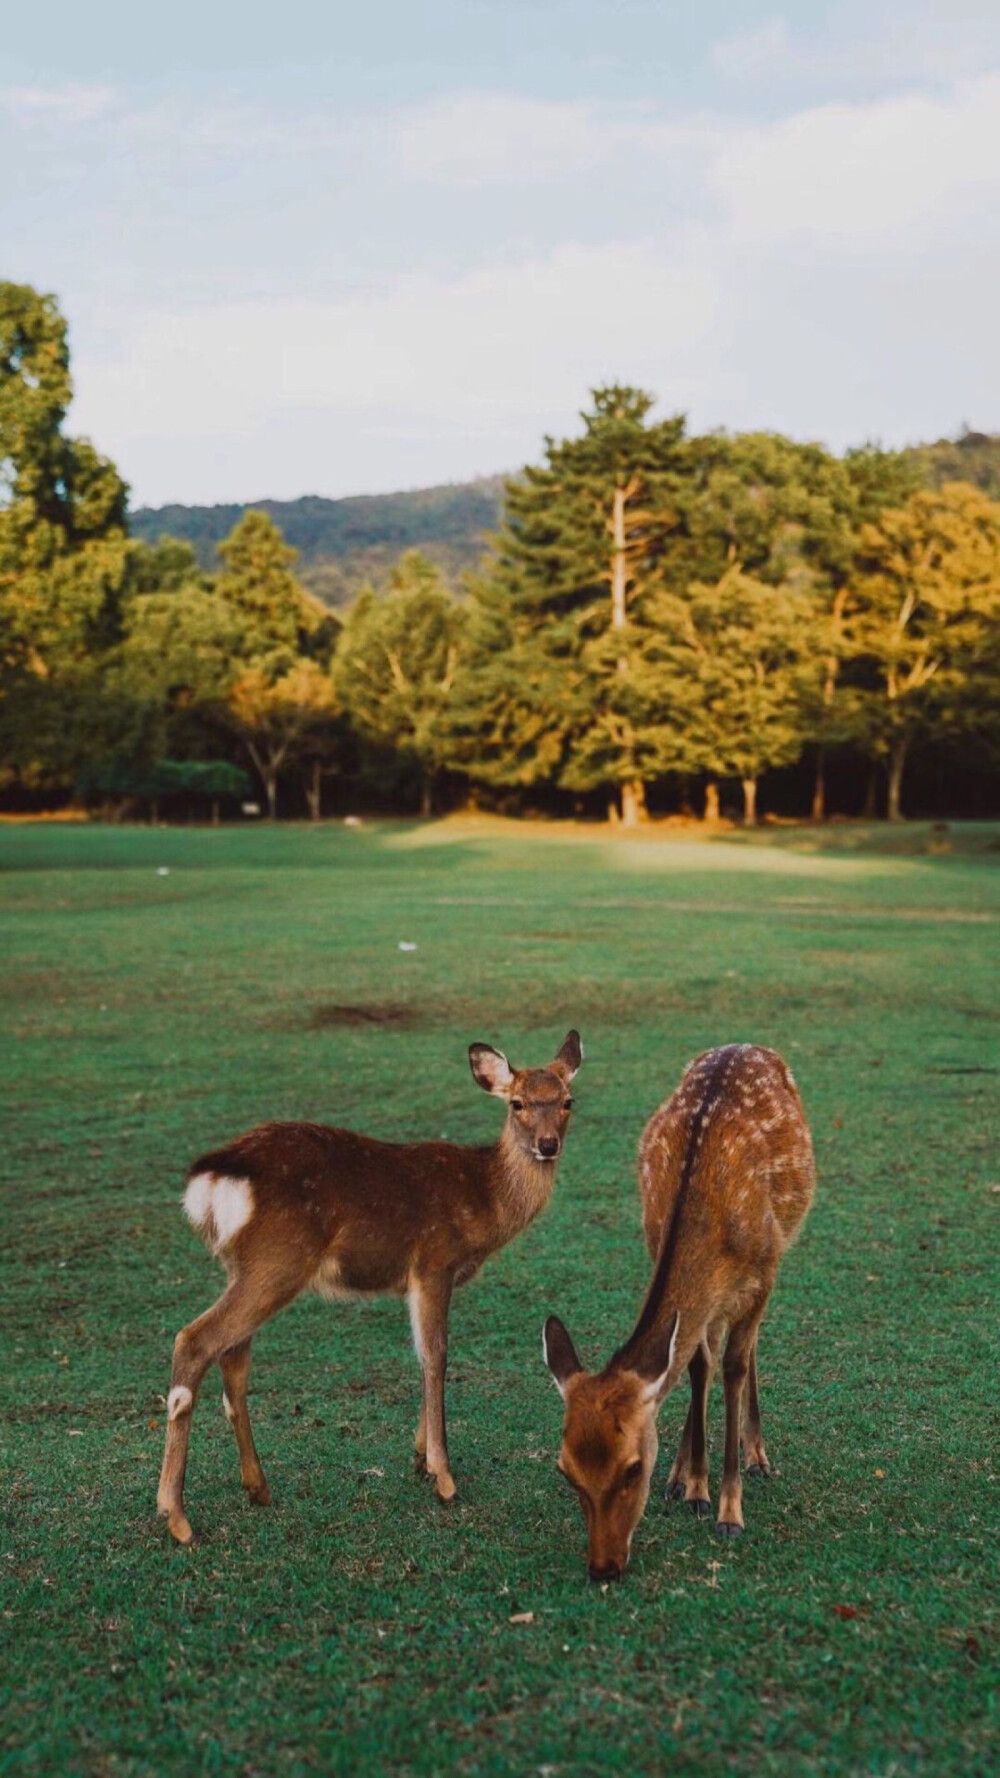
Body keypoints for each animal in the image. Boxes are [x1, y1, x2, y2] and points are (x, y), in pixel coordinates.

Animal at [155, 1031, 580, 1543]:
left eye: (567, 1101)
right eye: (517, 1103)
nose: (548, 1144)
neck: (484, 1201)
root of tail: (214, 1178)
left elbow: (426, 1354)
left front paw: (418, 1457)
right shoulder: (433, 1262)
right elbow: (436, 1354)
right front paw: (443, 1477)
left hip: (243, 1267)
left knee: (233, 1357)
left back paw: (257, 1488)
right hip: (278, 1261)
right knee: (195, 1339)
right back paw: (177, 1516)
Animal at [540, 1038, 814, 1585]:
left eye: (632, 1468)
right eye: (564, 1470)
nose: (603, 1567)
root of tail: (747, 1043)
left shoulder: (764, 1271)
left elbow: (733, 1367)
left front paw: (729, 1510)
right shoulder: (662, 1251)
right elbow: (696, 1364)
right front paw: (693, 1486)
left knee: (749, 1348)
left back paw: (758, 1456)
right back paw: (682, 1476)